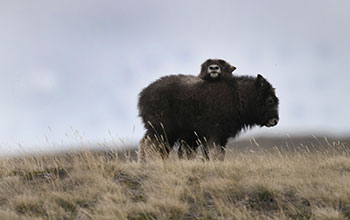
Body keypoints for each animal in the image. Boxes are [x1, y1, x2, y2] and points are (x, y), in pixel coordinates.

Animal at [137, 73, 278, 161]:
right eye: (270, 100)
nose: (275, 120)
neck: (239, 96)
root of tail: (143, 94)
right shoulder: (213, 135)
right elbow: (215, 153)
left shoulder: (218, 138)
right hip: (161, 130)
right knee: (149, 145)